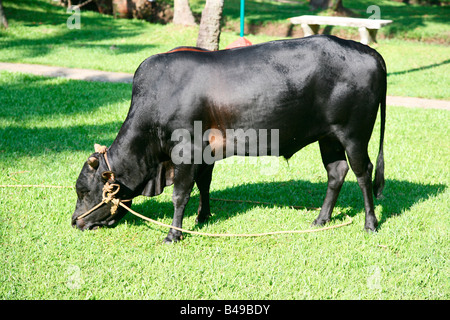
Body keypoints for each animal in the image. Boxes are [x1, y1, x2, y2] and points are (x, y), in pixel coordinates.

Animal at [72, 35, 384, 242]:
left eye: (84, 191)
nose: (75, 221)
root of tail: (369, 52)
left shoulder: (186, 150)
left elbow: (180, 193)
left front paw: (174, 233)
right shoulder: (205, 152)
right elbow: (204, 183)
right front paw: (202, 216)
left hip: (354, 135)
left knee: (363, 172)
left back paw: (370, 223)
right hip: (329, 137)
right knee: (336, 172)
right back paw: (321, 219)